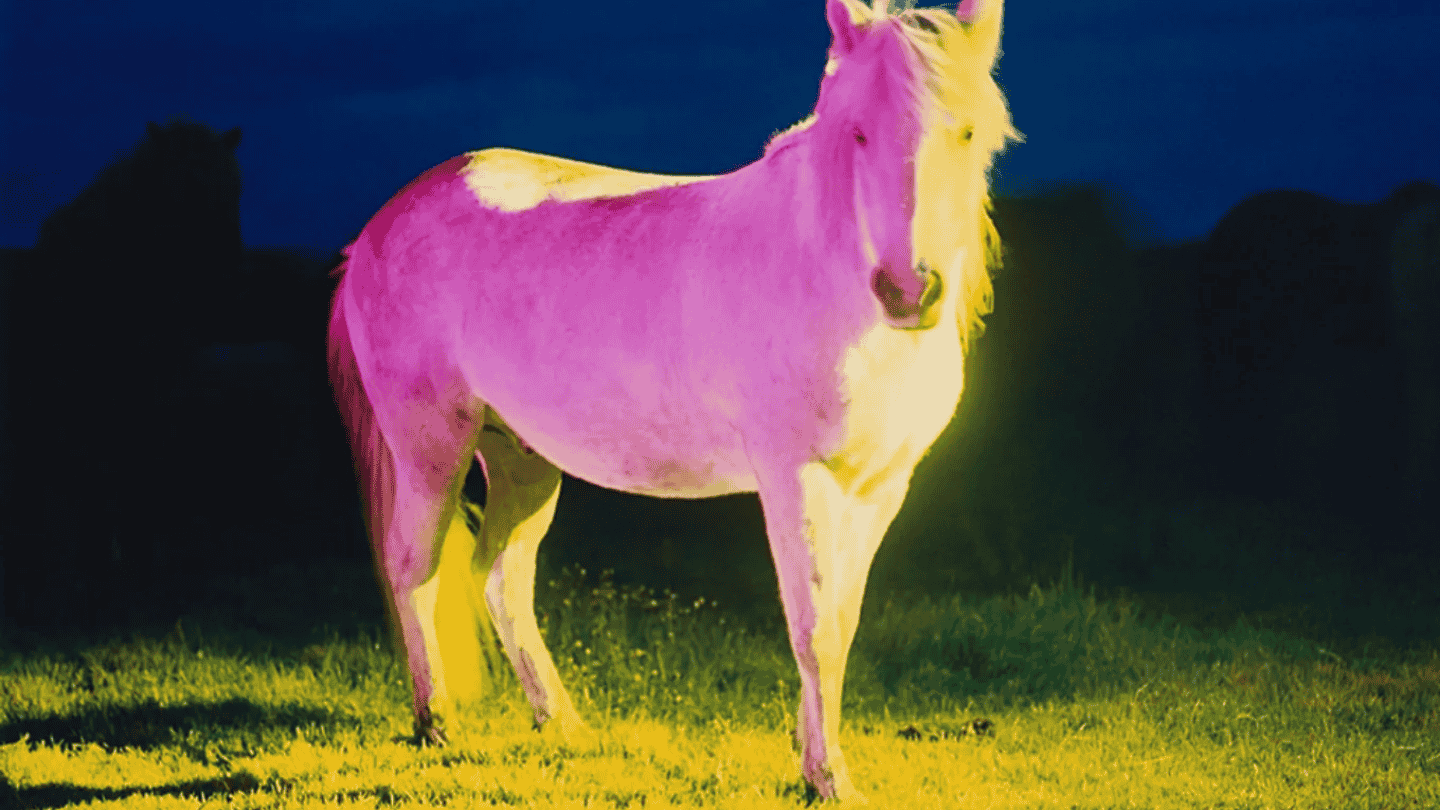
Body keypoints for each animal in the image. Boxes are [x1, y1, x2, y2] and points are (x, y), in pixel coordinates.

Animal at [327, 0, 1017, 800]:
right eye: (858, 132)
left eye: (966, 131)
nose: (910, 291)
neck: (827, 274)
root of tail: (374, 231)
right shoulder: (796, 479)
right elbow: (813, 626)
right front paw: (826, 778)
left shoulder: (883, 484)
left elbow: (841, 619)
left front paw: (814, 754)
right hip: (430, 445)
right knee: (415, 567)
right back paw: (434, 721)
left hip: (522, 456)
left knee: (503, 575)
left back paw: (561, 722)